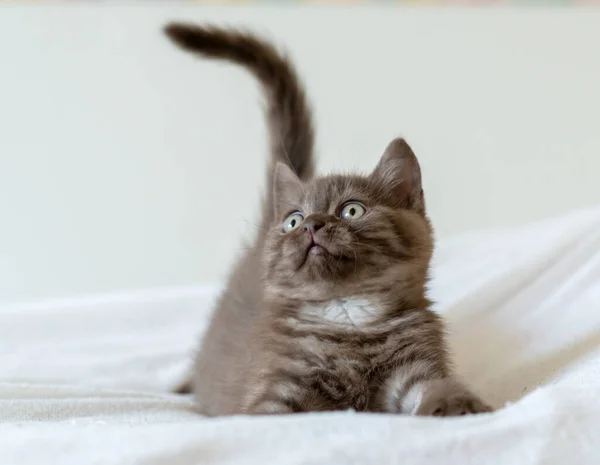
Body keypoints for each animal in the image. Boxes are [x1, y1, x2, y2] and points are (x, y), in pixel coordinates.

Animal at [165, 21, 492, 416]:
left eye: (352, 210)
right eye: (293, 220)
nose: (310, 225)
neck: (349, 318)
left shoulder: (413, 365)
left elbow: (433, 387)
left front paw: (459, 404)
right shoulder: (276, 389)